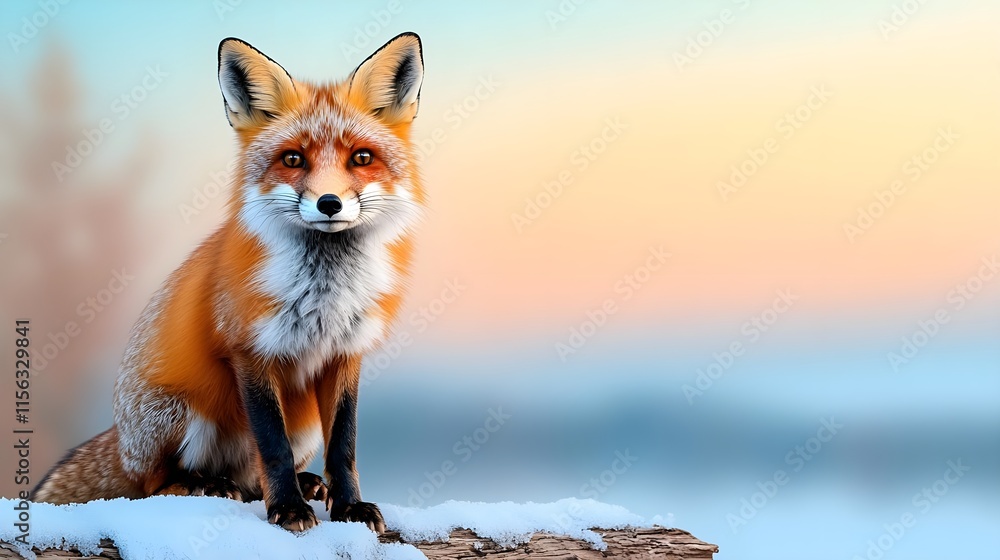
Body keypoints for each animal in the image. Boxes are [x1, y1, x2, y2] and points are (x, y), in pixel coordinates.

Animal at [31, 33, 426, 533]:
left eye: (361, 158)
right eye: (293, 159)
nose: (329, 203)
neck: (324, 294)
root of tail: (121, 439)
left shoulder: (345, 354)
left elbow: (345, 447)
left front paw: (349, 507)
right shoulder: (250, 351)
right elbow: (272, 447)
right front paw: (288, 509)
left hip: (303, 425)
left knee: (252, 477)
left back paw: (301, 484)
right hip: (183, 413)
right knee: (156, 484)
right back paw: (205, 484)